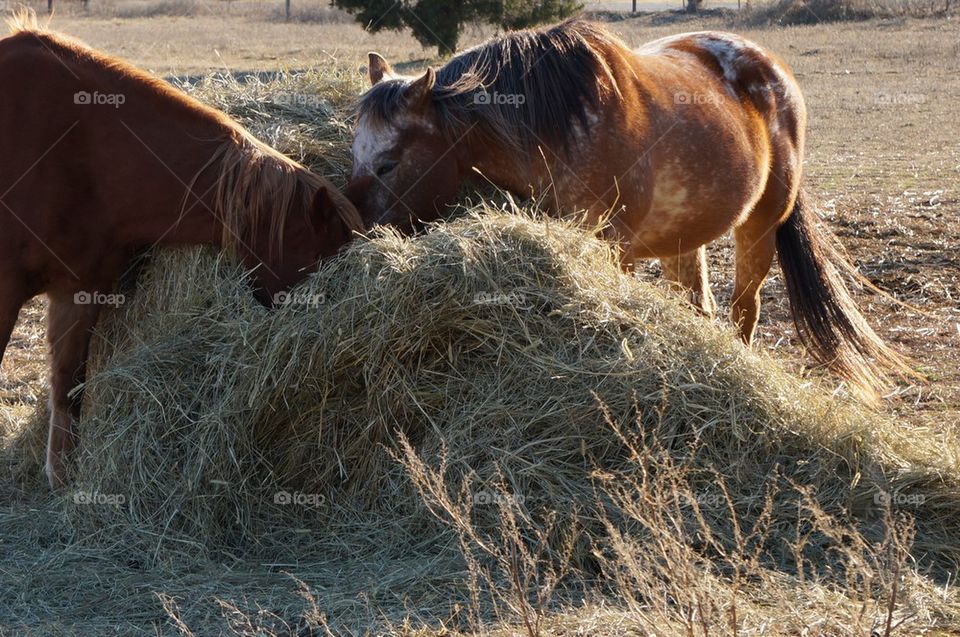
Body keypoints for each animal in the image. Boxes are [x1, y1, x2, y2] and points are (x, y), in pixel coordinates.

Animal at [344, 19, 916, 400]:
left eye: (389, 163)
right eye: (355, 153)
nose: (356, 236)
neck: (559, 125)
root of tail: (770, 67)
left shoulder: (613, 246)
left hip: (759, 227)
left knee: (743, 310)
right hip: (684, 238)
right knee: (700, 306)